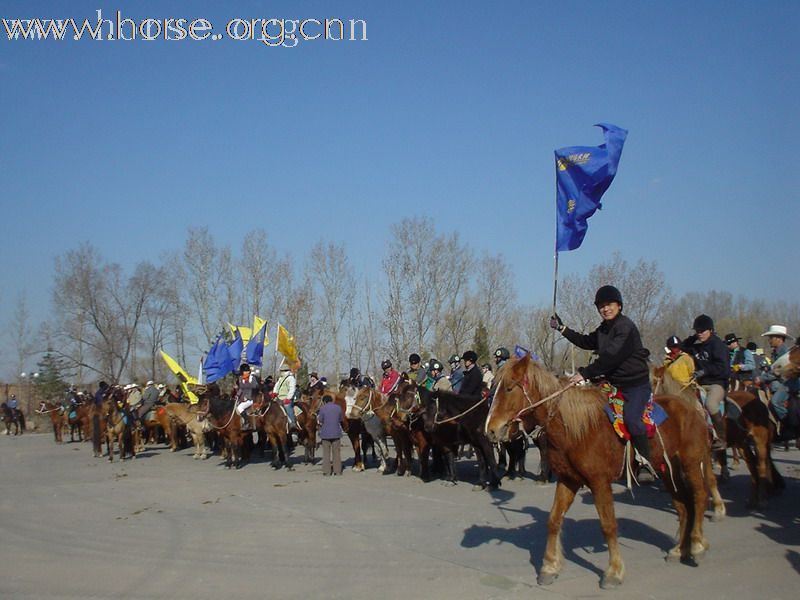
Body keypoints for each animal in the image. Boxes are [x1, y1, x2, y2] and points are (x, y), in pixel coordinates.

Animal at [484, 356, 720, 592]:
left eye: (509, 388)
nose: (491, 430)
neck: (576, 428)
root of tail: (693, 409)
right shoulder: (568, 480)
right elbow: (553, 520)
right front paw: (549, 567)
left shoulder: (599, 483)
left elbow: (608, 525)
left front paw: (614, 572)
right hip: (667, 471)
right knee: (683, 506)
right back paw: (679, 550)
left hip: (691, 463)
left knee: (700, 496)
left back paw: (697, 546)